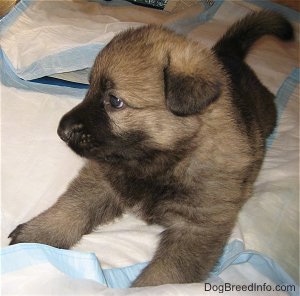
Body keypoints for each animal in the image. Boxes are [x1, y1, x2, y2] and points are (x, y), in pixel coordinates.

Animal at [8, 11, 292, 286]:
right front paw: (37, 234)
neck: (162, 161)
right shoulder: (102, 178)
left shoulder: (197, 228)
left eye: (115, 101)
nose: (61, 130)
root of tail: (229, 55)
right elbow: (70, 207)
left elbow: (165, 276)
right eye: (89, 88)